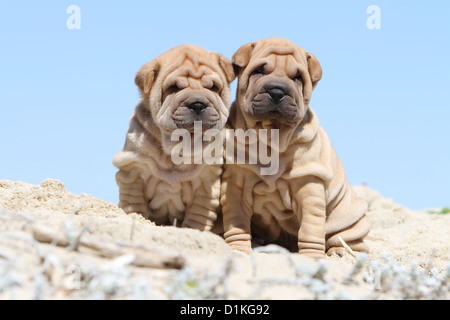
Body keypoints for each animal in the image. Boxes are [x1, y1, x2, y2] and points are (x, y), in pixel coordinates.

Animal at [112, 43, 236, 231]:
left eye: (213, 87)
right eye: (174, 88)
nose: (198, 104)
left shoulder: (206, 184)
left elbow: (197, 218)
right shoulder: (133, 170)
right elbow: (135, 206)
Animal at [220, 37, 370, 258]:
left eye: (298, 77)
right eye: (258, 71)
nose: (277, 91)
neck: (271, 137)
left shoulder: (309, 188)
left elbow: (310, 229)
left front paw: (311, 257)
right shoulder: (235, 186)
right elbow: (237, 224)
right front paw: (239, 250)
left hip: (350, 219)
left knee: (351, 241)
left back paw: (340, 251)